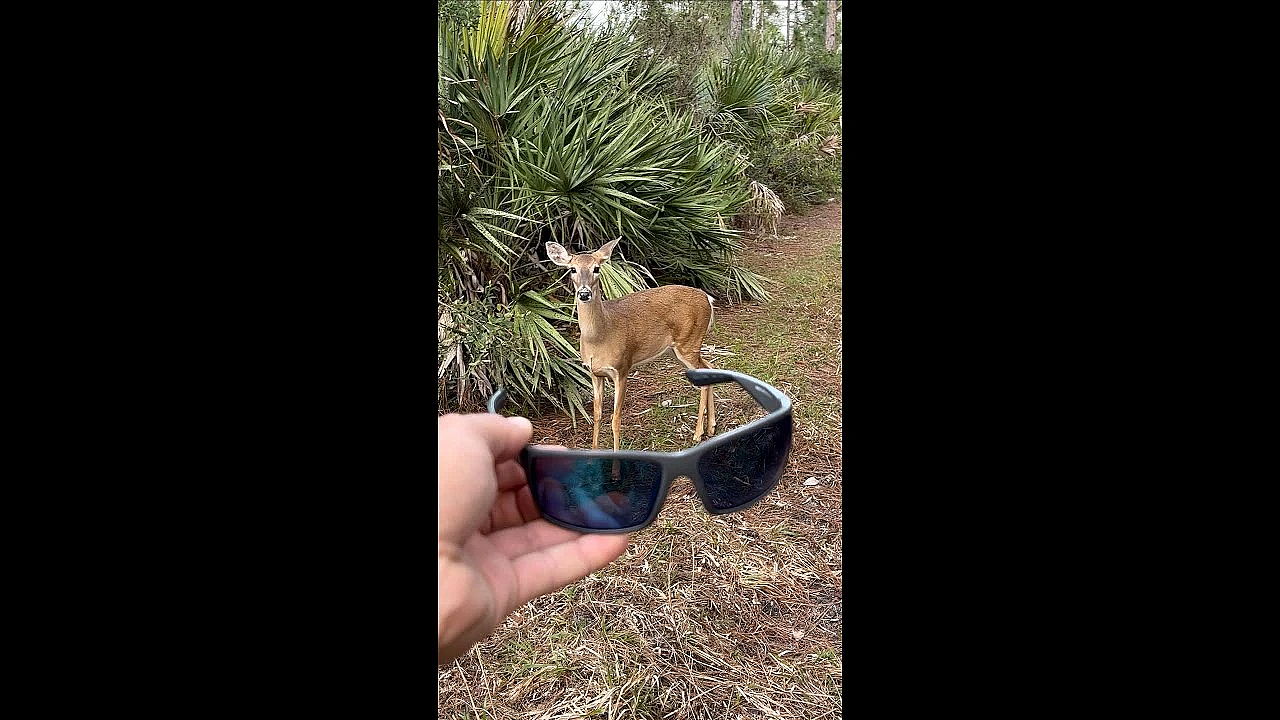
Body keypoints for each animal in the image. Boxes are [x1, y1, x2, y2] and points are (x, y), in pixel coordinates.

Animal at [546, 239, 717, 451]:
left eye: (596, 268)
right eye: (572, 269)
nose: (584, 294)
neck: (600, 337)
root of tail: (708, 299)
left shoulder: (622, 368)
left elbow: (615, 419)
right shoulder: (594, 372)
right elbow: (597, 415)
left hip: (688, 341)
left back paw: (697, 434)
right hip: (677, 348)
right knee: (709, 366)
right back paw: (711, 428)